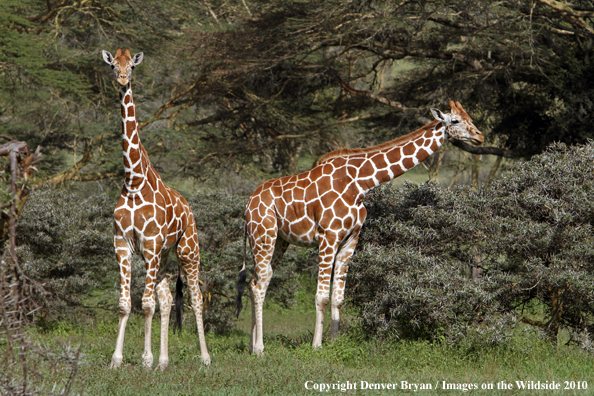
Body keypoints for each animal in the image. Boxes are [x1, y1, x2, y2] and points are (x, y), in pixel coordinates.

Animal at [103, 48, 209, 370]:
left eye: (132, 66)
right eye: (113, 65)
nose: (122, 78)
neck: (134, 182)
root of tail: (189, 208)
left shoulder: (149, 246)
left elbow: (146, 304)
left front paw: (145, 359)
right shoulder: (123, 245)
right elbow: (127, 304)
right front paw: (118, 359)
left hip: (188, 250)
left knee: (196, 298)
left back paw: (204, 357)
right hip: (163, 258)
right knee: (166, 298)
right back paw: (164, 361)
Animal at [235, 100, 480, 354]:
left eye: (470, 118)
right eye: (455, 121)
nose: (479, 136)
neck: (361, 183)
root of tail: (248, 205)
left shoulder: (351, 239)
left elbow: (338, 297)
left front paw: (334, 342)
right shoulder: (328, 236)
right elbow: (321, 297)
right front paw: (316, 345)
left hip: (278, 240)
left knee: (257, 282)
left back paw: (252, 345)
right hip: (263, 235)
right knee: (259, 284)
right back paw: (260, 348)